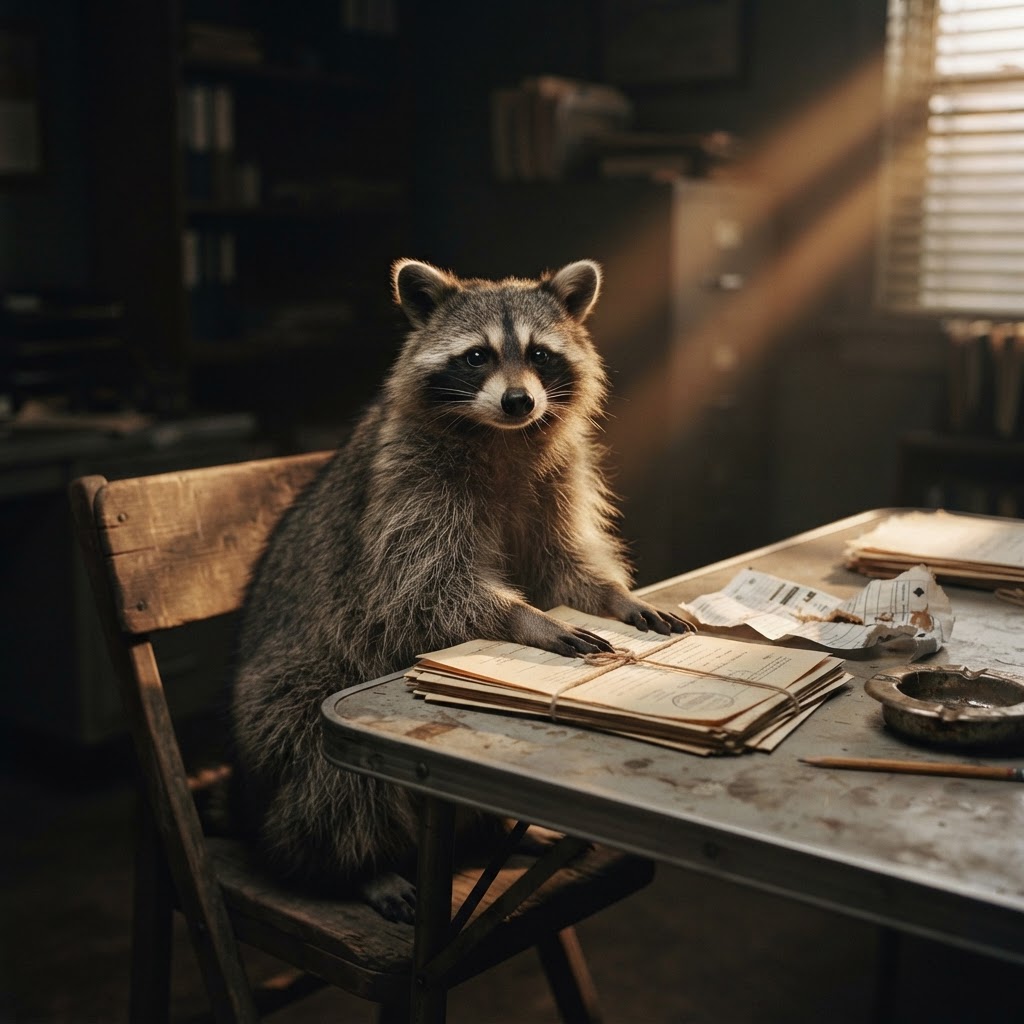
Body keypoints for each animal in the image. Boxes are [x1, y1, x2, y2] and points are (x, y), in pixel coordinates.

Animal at [229, 259, 686, 922]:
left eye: (540, 354)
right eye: (477, 357)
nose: (520, 400)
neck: (501, 434)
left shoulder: (558, 474)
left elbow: (563, 563)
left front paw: (615, 598)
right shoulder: (408, 483)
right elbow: (423, 586)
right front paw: (526, 619)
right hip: (283, 698)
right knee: (321, 760)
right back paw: (357, 866)